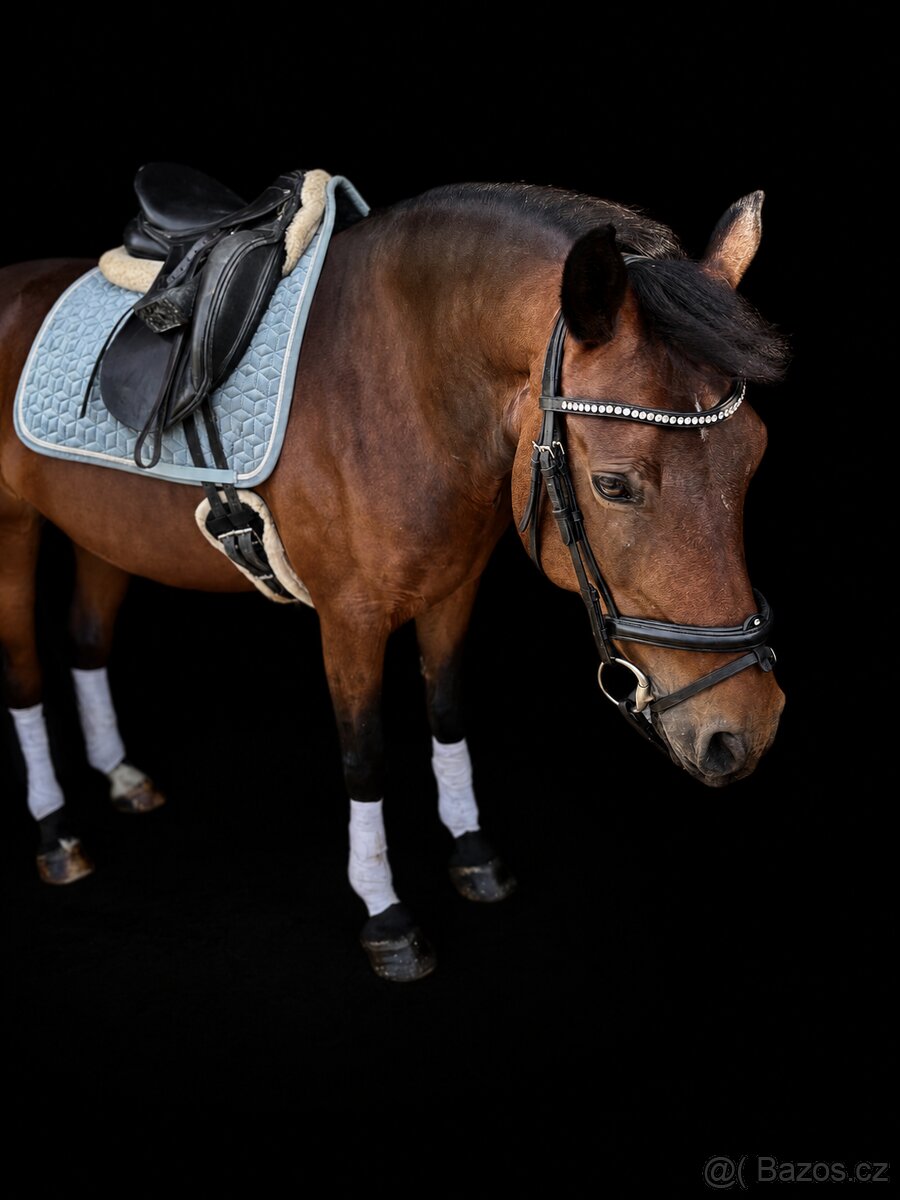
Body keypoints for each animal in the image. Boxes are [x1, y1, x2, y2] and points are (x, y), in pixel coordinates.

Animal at [0, 177, 788, 981]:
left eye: (753, 458)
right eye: (614, 485)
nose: (743, 729)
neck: (402, 383)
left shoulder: (452, 593)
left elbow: (447, 715)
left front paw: (472, 853)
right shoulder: (348, 620)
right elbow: (365, 758)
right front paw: (385, 914)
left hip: (103, 532)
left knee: (87, 642)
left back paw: (121, 777)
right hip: (14, 533)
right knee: (25, 674)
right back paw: (56, 833)